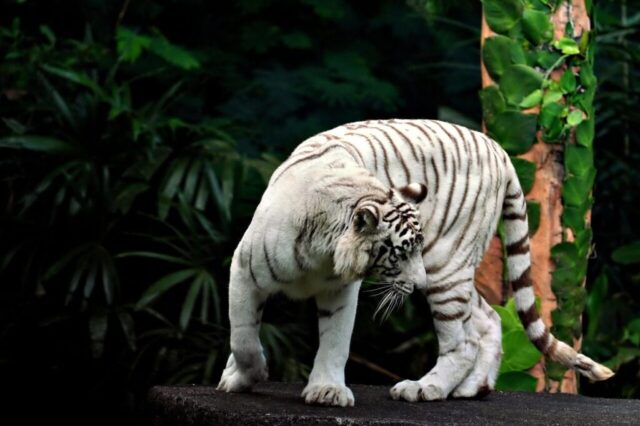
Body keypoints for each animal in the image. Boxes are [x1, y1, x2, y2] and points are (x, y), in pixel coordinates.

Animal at [216, 119, 614, 406]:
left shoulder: (341, 290)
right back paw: (473, 389)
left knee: (462, 343)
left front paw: (327, 391)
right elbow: (243, 337)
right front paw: (242, 375)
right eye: (402, 253)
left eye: (411, 250)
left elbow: (335, 341)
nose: (419, 283)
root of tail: (498, 149)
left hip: (447, 264)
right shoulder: (244, 272)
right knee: (489, 319)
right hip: (457, 269)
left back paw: (426, 388)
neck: (322, 250)